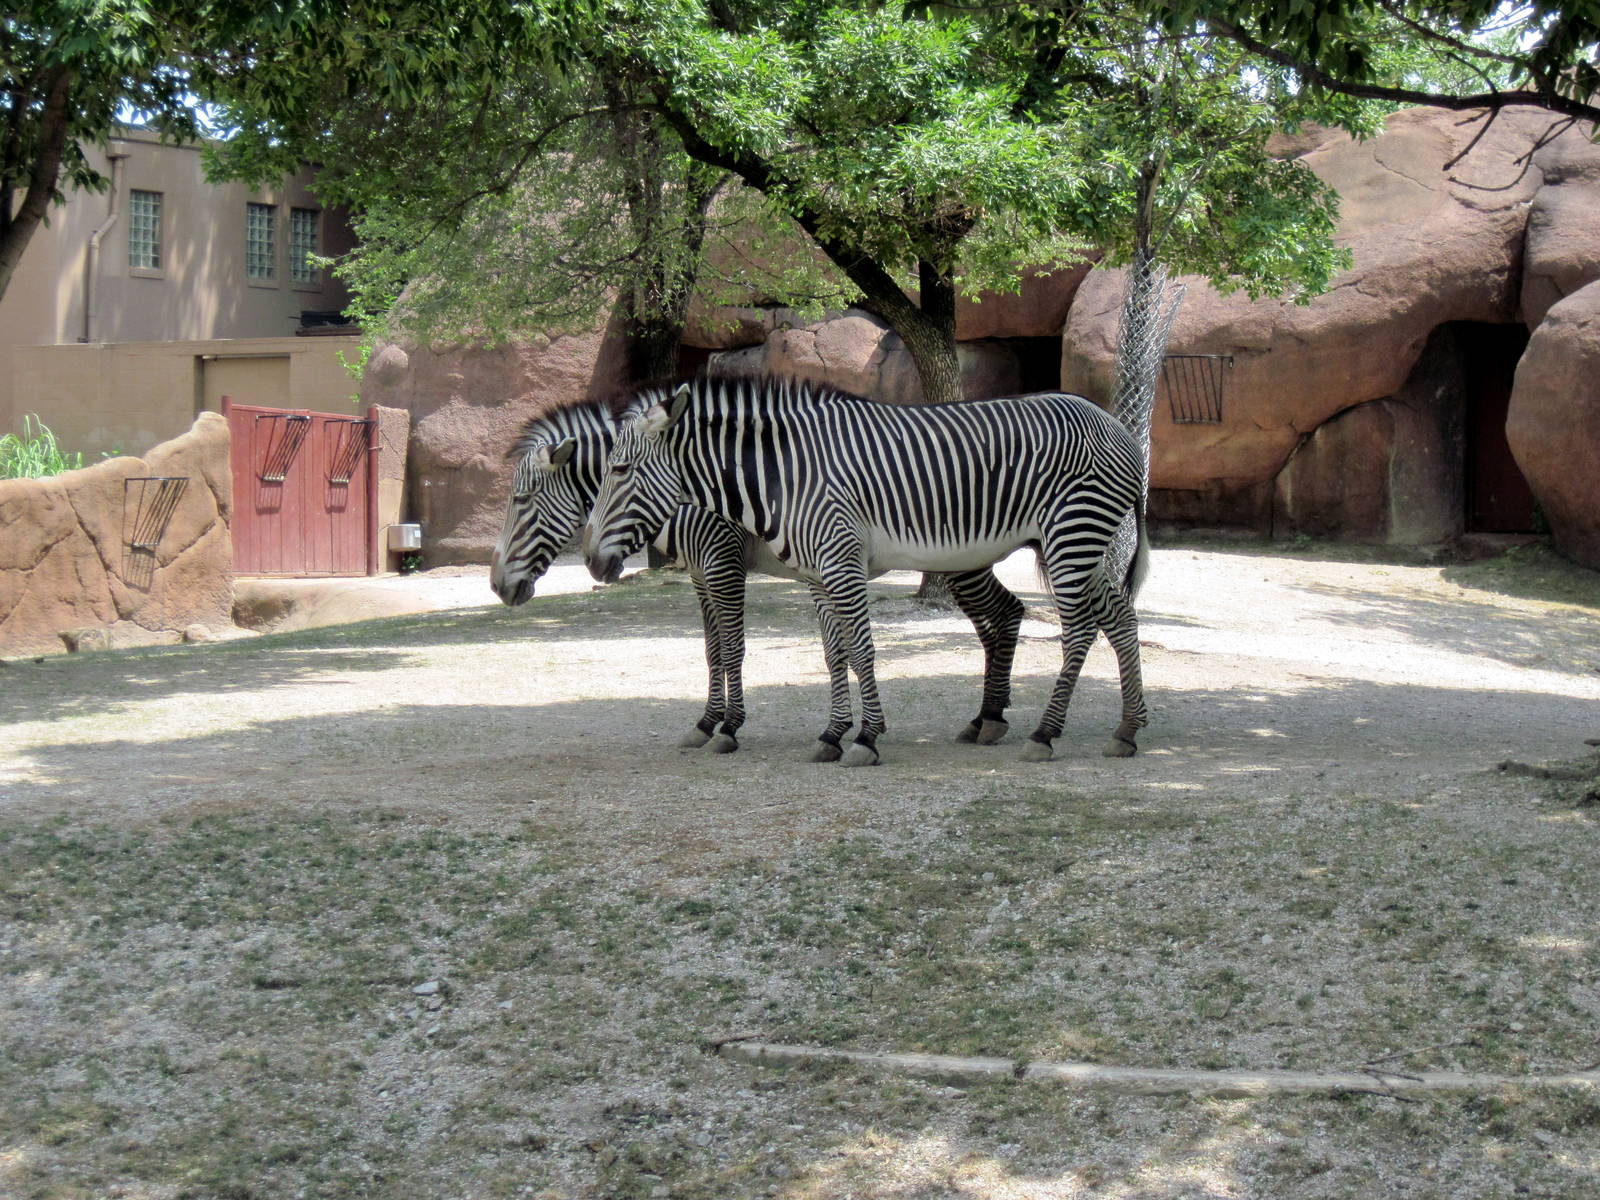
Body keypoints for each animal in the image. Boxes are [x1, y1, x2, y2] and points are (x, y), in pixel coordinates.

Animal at [489, 392, 1031, 758]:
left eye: (521, 501)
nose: (496, 586)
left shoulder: (721, 561)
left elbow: (733, 647)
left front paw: (729, 727)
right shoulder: (699, 574)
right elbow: (712, 651)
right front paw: (707, 722)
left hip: (960, 557)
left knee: (1001, 617)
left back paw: (990, 718)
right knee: (1003, 616)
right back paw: (986, 718)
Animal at [583, 375, 1149, 767]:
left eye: (620, 470)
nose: (590, 561)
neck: (782, 476)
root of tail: (1117, 425)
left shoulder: (834, 562)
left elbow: (860, 650)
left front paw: (866, 737)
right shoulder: (817, 575)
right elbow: (834, 656)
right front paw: (833, 734)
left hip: (1071, 535)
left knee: (1079, 630)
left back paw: (1045, 734)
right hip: (1080, 543)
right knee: (1120, 618)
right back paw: (1127, 728)